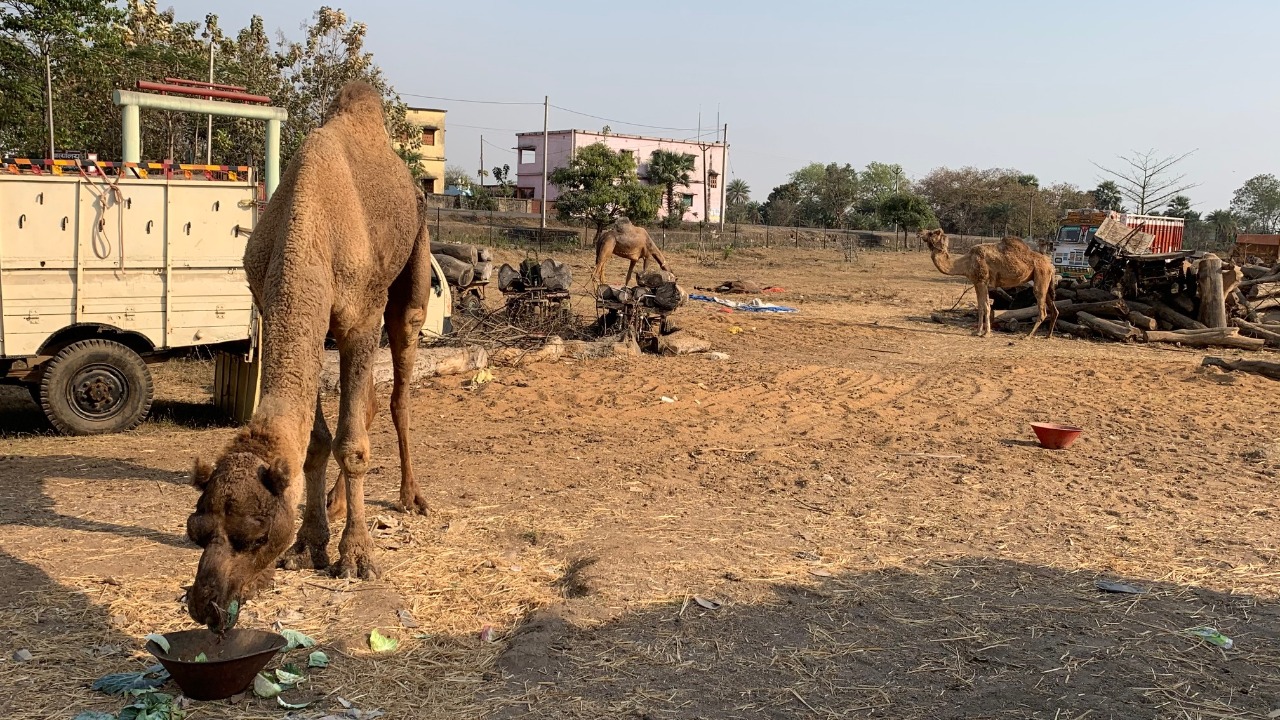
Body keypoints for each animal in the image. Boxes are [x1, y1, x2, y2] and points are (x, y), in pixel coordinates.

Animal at [184, 81, 432, 630]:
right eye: (196, 529)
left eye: (256, 536)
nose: (205, 604)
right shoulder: (285, 312)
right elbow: (317, 441)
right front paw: (309, 544)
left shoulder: (360, 316)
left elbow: (352, 446)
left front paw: (356, 556)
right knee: (366, 403)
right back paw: (338, 505)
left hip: (413, 270)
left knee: (399, 388)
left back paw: (411, 497)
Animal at [918, 228, 1059, 338]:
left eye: (931, 233)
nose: (920, 233)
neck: (966, 263)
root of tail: (1050, 265)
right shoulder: (977, 282)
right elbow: (980, 307)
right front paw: (977, 332)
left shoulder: (982, 281)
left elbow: (986, 306)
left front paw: (986, 333)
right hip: (1045, 280)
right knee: (1054, 308)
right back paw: (1048, 335)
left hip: (1041, 274)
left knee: (1042, 308)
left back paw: (1028, 336)